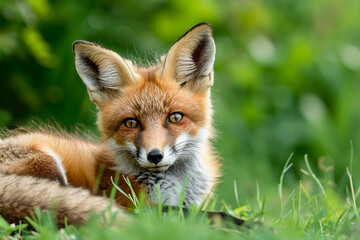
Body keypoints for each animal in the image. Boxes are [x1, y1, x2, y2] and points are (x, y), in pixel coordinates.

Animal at [0, 22, 225, 227]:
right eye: (131, 122)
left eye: (175, 117)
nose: (155, 156)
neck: (175, 185)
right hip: (48, 165)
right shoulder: (136, 204)